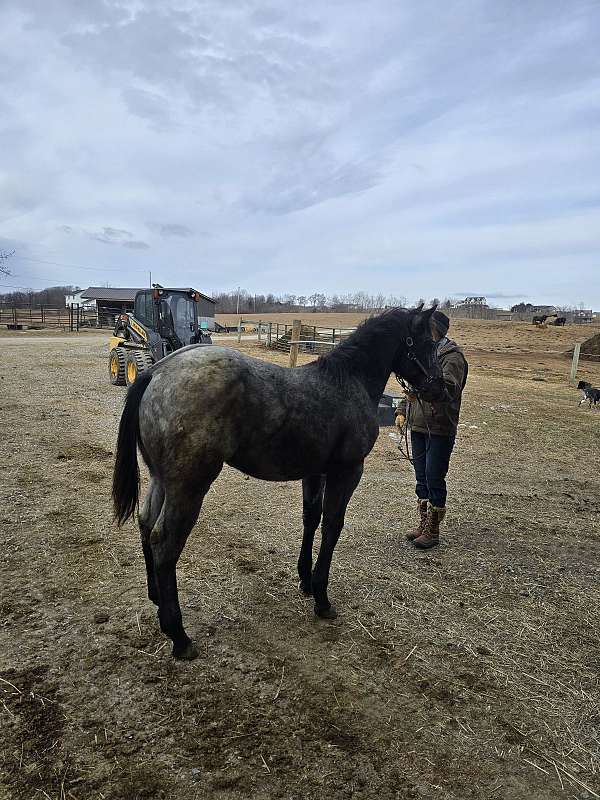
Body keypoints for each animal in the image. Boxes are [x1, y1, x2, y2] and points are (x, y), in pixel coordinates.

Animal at [112, 305, 445, 659]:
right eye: (427, 342)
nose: (439, 387)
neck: (348, 382)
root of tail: (155, 372)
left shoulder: (316, 472)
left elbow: (311, 519)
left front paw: (305, 580)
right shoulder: (347, 472)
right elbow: (332, 527)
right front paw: (322, 599)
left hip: (161, 479)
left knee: (146, 523)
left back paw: (156, 599)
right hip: (188, 487)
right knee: (164, 541)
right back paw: (179, 636)